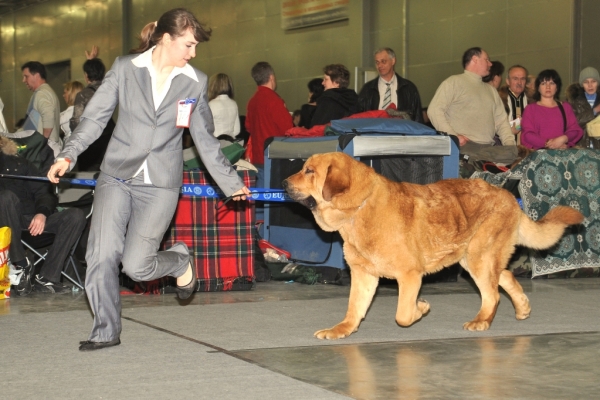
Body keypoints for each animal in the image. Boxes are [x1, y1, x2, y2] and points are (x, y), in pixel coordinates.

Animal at [284, 152, 584, 340]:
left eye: (309, 171)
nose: (284, 183)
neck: (359, 209)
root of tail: (510, 197)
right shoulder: (364, 275)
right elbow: (354, 308)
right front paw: (342, 329)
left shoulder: (410, 275)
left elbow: (403, 314)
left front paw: (421, 308)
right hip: (474, 258)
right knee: (506, 277)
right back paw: (521, 309)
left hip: (478, 257)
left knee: (492, 294)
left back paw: (481, 320)